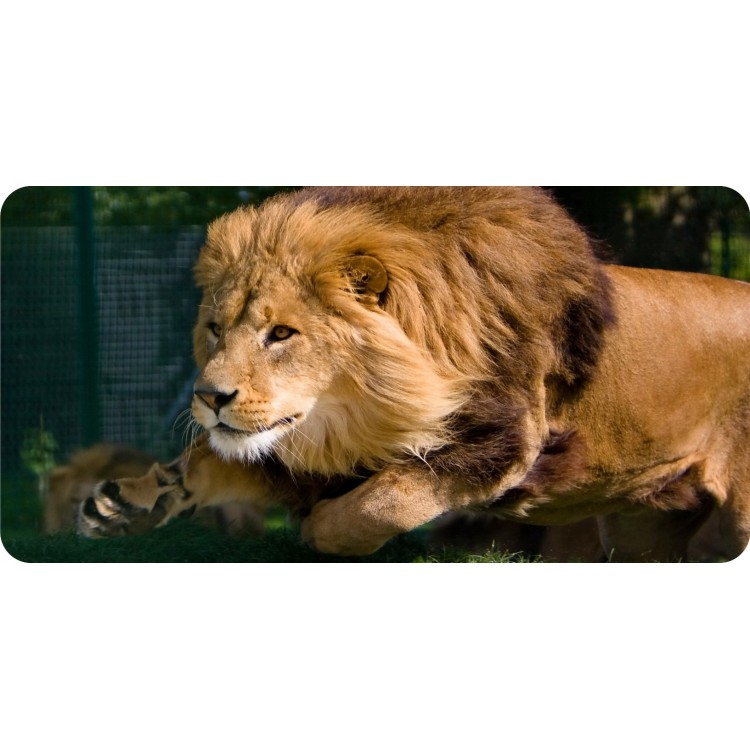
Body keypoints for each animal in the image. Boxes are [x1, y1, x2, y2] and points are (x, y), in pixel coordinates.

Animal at [77, 187, 750, 562]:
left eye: (282, 334)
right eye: (216, 329)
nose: (207, 396)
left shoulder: (507, 440)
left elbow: (387, 499)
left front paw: (321, 529)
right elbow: (209, 462)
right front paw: (126, 505)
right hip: (644, 529)